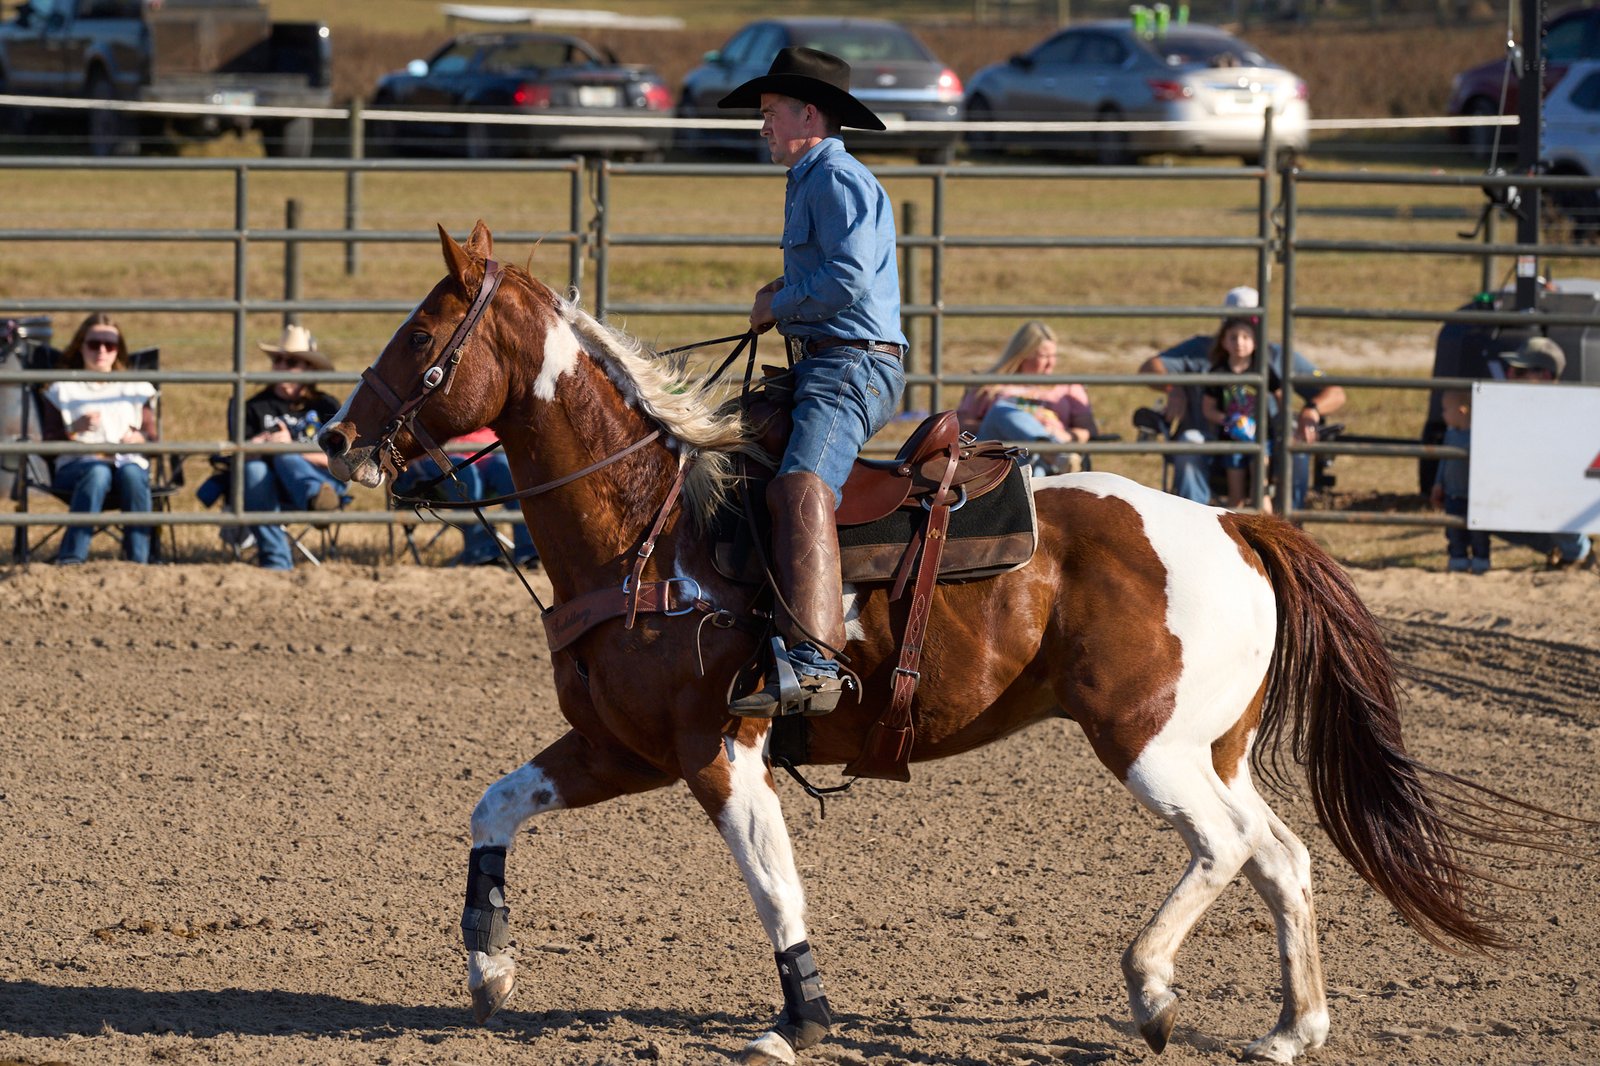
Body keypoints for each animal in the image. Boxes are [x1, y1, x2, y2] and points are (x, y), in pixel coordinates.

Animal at [320, 221, 1550, 1065]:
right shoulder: (621, 746)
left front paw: (800, 1019)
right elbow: (493, 808)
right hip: (1214, 745)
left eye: (422, 333)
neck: (650, 524)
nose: (335, 434)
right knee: (1281, 855)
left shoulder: (720, 751)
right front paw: (488, 963)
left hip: (1147, 744)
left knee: (1224, 846)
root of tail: (1229, 521)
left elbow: (773, 885)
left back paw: (1152, 988)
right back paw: (1293, 1028)